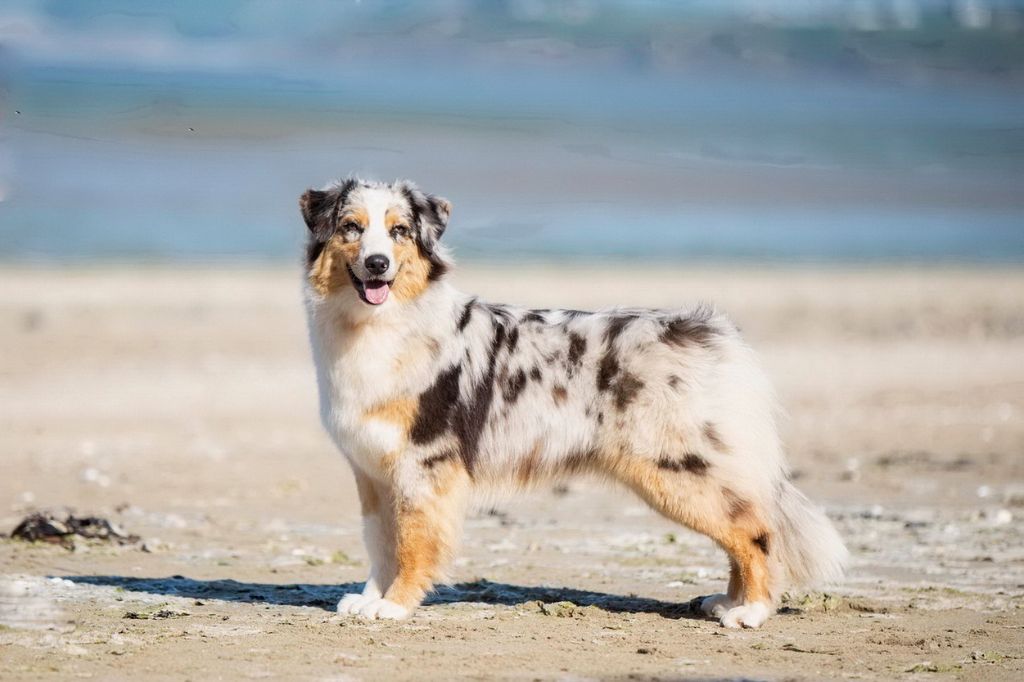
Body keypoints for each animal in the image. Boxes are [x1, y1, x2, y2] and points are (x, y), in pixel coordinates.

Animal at [299, 176, 847, 626]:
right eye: (351, 227)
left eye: (399, 232)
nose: (377, 265)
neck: (377, 326)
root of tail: (713, 333)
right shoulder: (372, 470)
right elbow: (380, 543)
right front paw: (369, 598)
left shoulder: (424, 465)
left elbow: (412, 544)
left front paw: (394, 606)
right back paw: (725, 602)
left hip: (680, 470)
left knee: (755, 532)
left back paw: (750, 611)